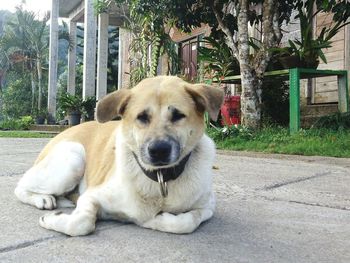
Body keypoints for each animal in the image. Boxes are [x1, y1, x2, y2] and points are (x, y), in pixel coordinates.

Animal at [14, 76, 224, 237]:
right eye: (142, 117)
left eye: (178, 115)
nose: (158, 150)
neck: (159, 178)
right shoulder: (91, 196)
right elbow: (80, 224)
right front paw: (51, 219)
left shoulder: (208, 206)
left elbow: (185, 223)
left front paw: (155, 220)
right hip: (74, 158)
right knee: (20, 187)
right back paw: (42, 199)